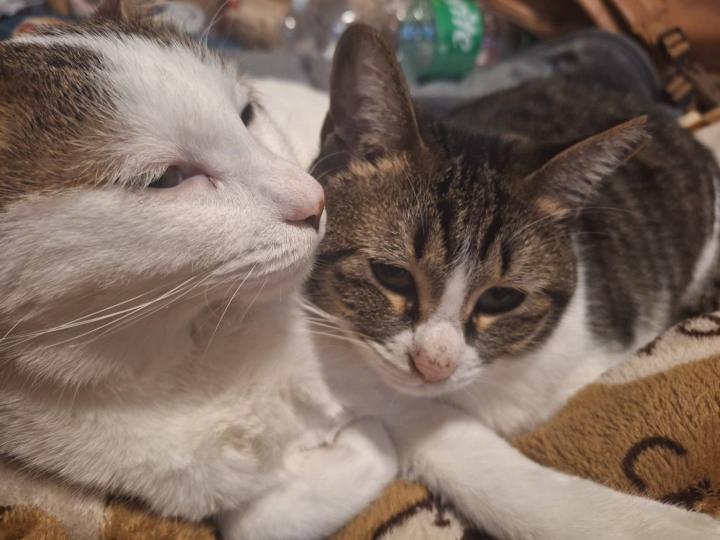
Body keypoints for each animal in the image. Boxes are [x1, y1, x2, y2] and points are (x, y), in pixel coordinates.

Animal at [0, 4, 398, 539]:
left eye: (247, 115)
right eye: (168, 178)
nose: (315, 200)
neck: (186, 355)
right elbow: (257, 520)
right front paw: (368, 443)